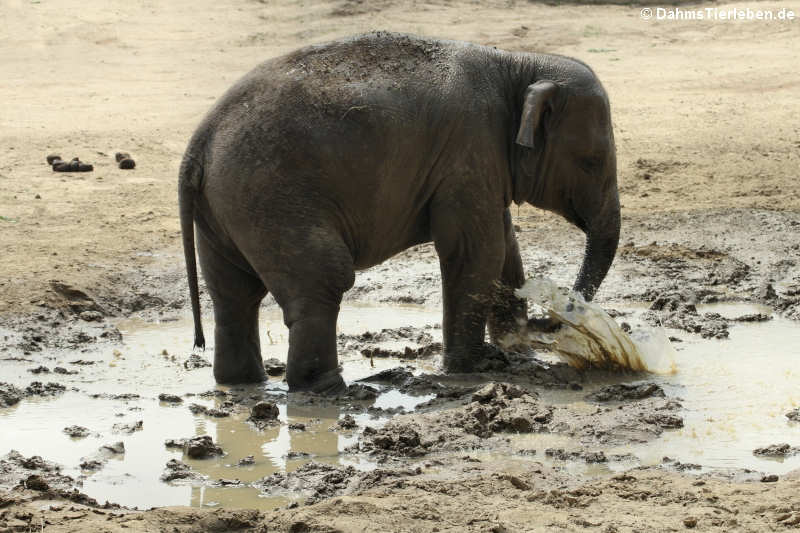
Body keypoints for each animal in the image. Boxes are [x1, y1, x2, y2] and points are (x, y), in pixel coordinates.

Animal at [178, 31, 620, 392]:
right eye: (592, 161)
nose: (551, 322)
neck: (517, 64)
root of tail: (199, 142)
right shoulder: (469, 149)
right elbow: (477, 249)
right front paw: (476, 367)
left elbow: (503, 242)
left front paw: (514, 348)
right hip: (272, 199)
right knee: (324, 277)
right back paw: (332, 389)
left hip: (226, 210)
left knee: (234, 294)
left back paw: (245, 382)